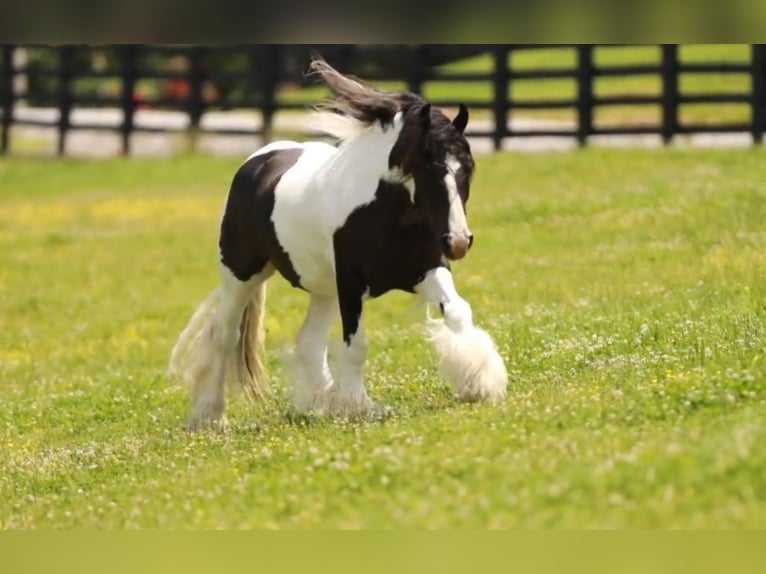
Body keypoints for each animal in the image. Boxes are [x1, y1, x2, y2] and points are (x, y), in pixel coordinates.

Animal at [172, 58, 510, 430]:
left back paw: (323, 403)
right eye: (429, 171)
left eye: (467, 169)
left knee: (308, 342)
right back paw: (211, 416)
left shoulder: (426, 270)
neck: (382, 211)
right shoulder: (351, 284)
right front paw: (360, 406)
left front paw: (480, 383)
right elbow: (356, 345)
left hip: (323, 289)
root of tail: (258, 160)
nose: (458, 242)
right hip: (241, 274)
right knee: (224, 335)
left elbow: (458, 312)